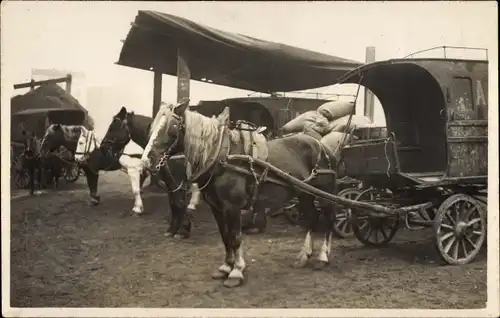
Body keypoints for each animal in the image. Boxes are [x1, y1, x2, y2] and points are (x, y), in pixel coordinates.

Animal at [99, 107, 201, 238]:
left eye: (113, 126)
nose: (103, 147)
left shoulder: (176, 181)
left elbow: (178, 202)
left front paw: (184, 229)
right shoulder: (169, 181)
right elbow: (174, 202)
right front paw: (174, 229)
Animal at [139, 102, 338, 288]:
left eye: (171, 128)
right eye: (152, 127)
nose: (147, 161)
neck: (220, 156)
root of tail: (322, 146)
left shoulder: (232, 207)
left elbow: (235, 238)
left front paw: (236, 272)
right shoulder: (216, 207)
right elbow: (225, 237)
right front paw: (226, 267)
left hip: (324, 195)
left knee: (328, 220)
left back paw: (322, 257)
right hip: (305, 194)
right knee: (312, 219)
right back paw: (304, 256)